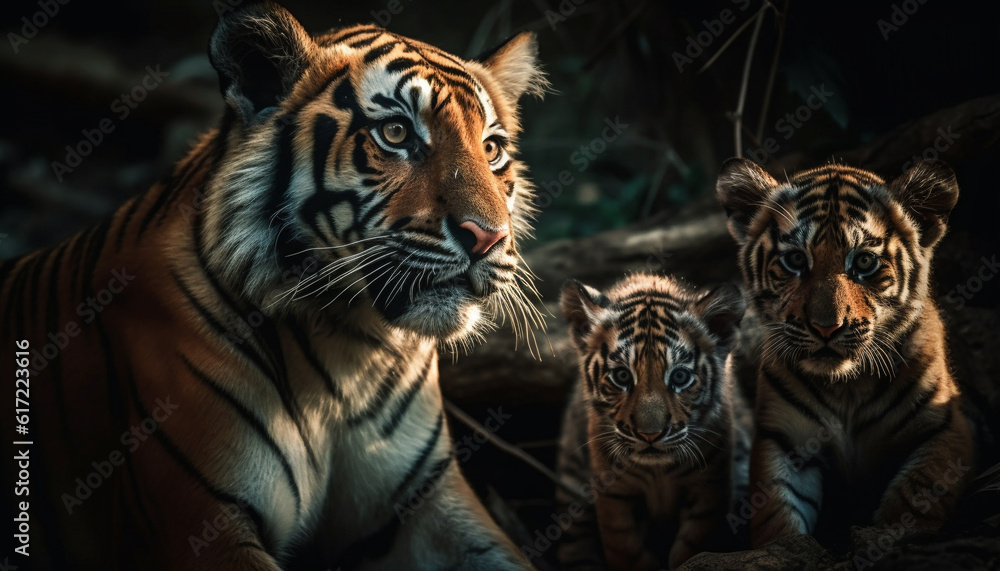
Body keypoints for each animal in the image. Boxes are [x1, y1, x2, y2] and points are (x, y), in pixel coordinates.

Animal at [1, 2, 548, 568]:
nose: (488, 236)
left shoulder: (427, 497)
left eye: (491, 148)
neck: (353, 348)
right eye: (396, 133)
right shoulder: (207, 518)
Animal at [720, 158, 976, 548]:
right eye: (795, 259)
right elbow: (776, 514)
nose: (826, 327)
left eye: (865, 262)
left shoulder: (947, 428)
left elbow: (914, 498)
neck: (847, 387)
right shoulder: (785, 441)